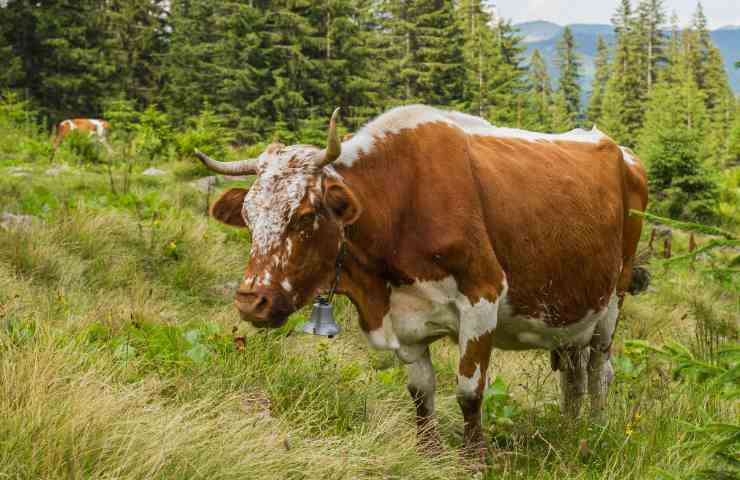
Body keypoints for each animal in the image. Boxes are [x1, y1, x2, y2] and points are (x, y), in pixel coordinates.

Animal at [192, 105, 648, 458]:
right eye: (248, 216)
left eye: (304, 216)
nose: (251, 301)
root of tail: (619, 149)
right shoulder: (405, 322)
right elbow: (420, 392)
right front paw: (429, 453)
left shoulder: (481, 298)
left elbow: (468, 391)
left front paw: (473, 460)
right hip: (571, 310)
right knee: (573, 373)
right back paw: (572, 429)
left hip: (613, 299)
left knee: (599, 370)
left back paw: (595, 429)